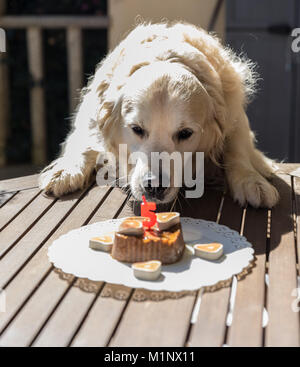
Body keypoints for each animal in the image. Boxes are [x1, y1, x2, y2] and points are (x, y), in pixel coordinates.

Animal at [39, 21, 278, 208]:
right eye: (136, 129)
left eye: (185, 133)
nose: (154, 186)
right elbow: (82, 141)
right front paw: (65, 170)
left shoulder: (232, 112)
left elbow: (237, 148)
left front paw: (252, 181)